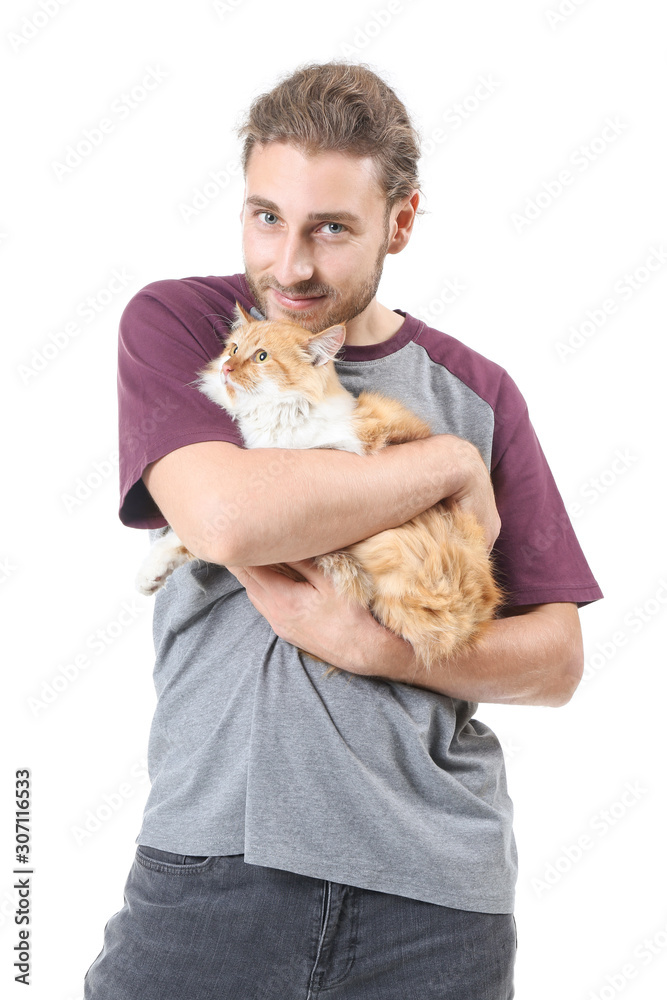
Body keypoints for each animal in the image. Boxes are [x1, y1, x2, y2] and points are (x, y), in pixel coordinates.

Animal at [136, 300, 500, 668]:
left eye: (261, 357)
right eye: (234, 349)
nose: (226, 367)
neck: (278, 415)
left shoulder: (337, 452)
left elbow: (191, 538)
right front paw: (151, 576)